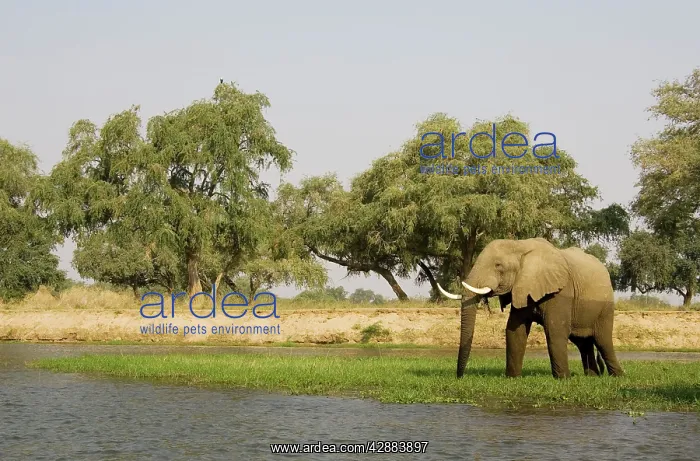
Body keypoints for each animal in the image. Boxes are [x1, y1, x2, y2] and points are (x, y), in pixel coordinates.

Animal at [436, 237, 624, 379]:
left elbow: (555, 331)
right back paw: (593, 376)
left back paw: (618, 376)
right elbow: (514, 331)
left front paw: (563, 379)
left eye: (498, 266)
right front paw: (512, 378)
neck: (520, 246)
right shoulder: (521, 287)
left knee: (602, 340)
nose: (459, 377)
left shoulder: (561, 292)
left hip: (606, 306)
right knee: (583, 342)